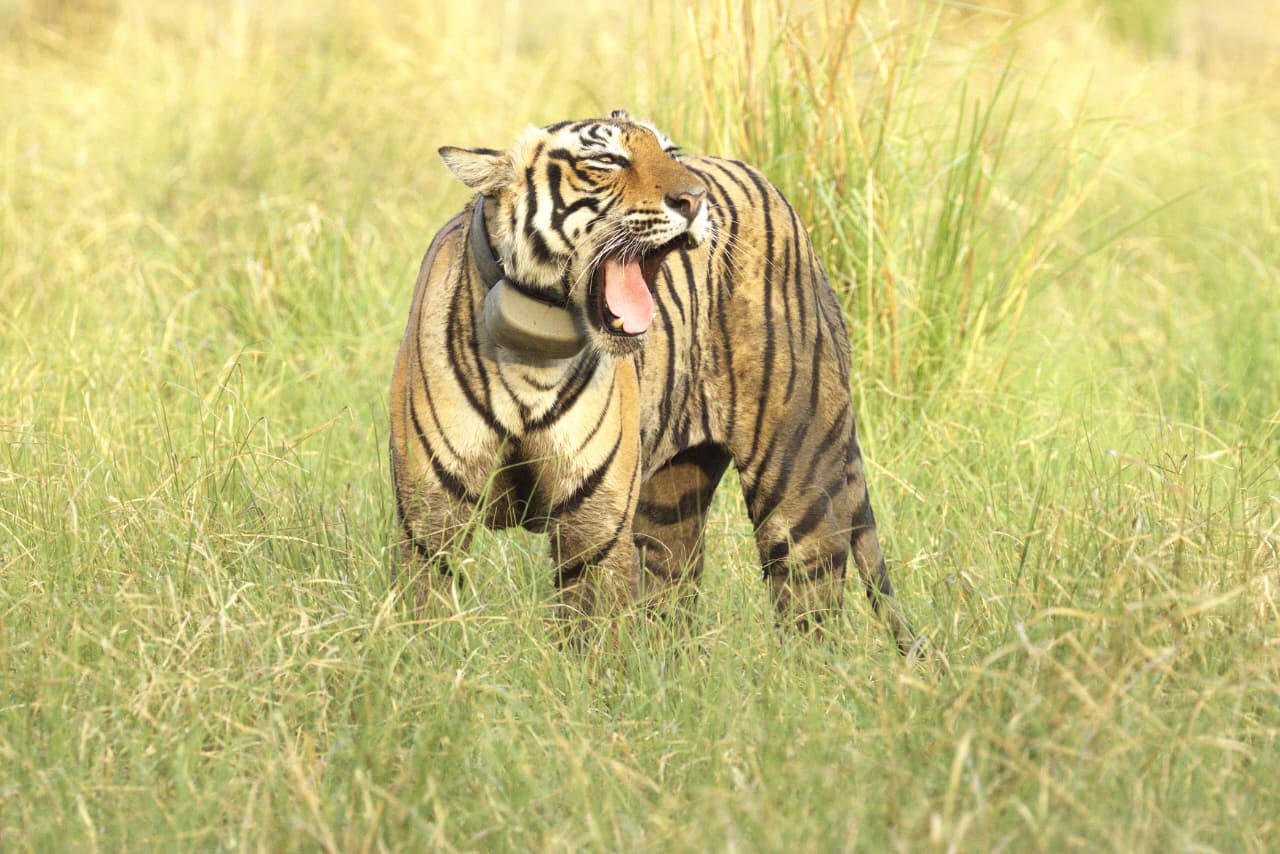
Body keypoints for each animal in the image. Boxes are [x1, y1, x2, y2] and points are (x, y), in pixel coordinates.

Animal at [388, 110, 914, 651]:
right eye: (607, 160)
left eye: (669, 151)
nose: (694, 199)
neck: (534, 358)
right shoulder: (431, 522)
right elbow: (423, 622)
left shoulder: (594, 531)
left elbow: (593, 644)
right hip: (671, 507)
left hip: (799, 480)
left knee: (812, 615)